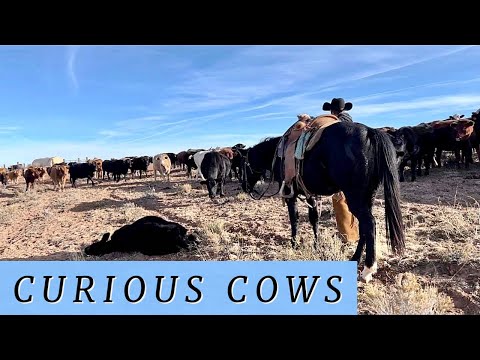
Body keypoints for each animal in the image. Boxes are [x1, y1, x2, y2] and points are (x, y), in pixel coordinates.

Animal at [236, 122, 404, 282]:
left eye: (242, 166)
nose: (244, 186)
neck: (277, 154)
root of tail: (370, 131)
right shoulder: (310, 194)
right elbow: (314, 219)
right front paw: (316, 245)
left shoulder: (290, 194)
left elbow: (294, 219)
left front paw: (294, 244)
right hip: (369, 196)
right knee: (364, 227)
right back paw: (355, 259)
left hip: (355, 197)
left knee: (369, 224)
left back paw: (367, 270)